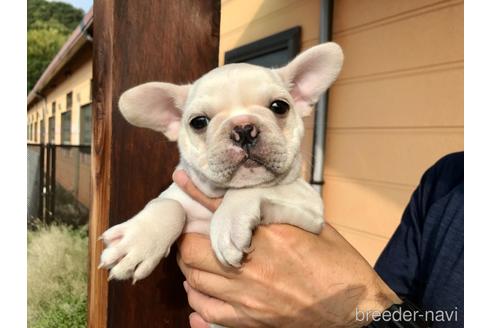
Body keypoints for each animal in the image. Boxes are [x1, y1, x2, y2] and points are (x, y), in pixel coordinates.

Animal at [98, 41, 344, 282]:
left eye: (279, 106)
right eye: (198, 122)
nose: (243, 129)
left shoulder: (310, 207)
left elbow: (251, 190)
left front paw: (228, 221)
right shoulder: (177, 195)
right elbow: (168, 204)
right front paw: (138, 242)